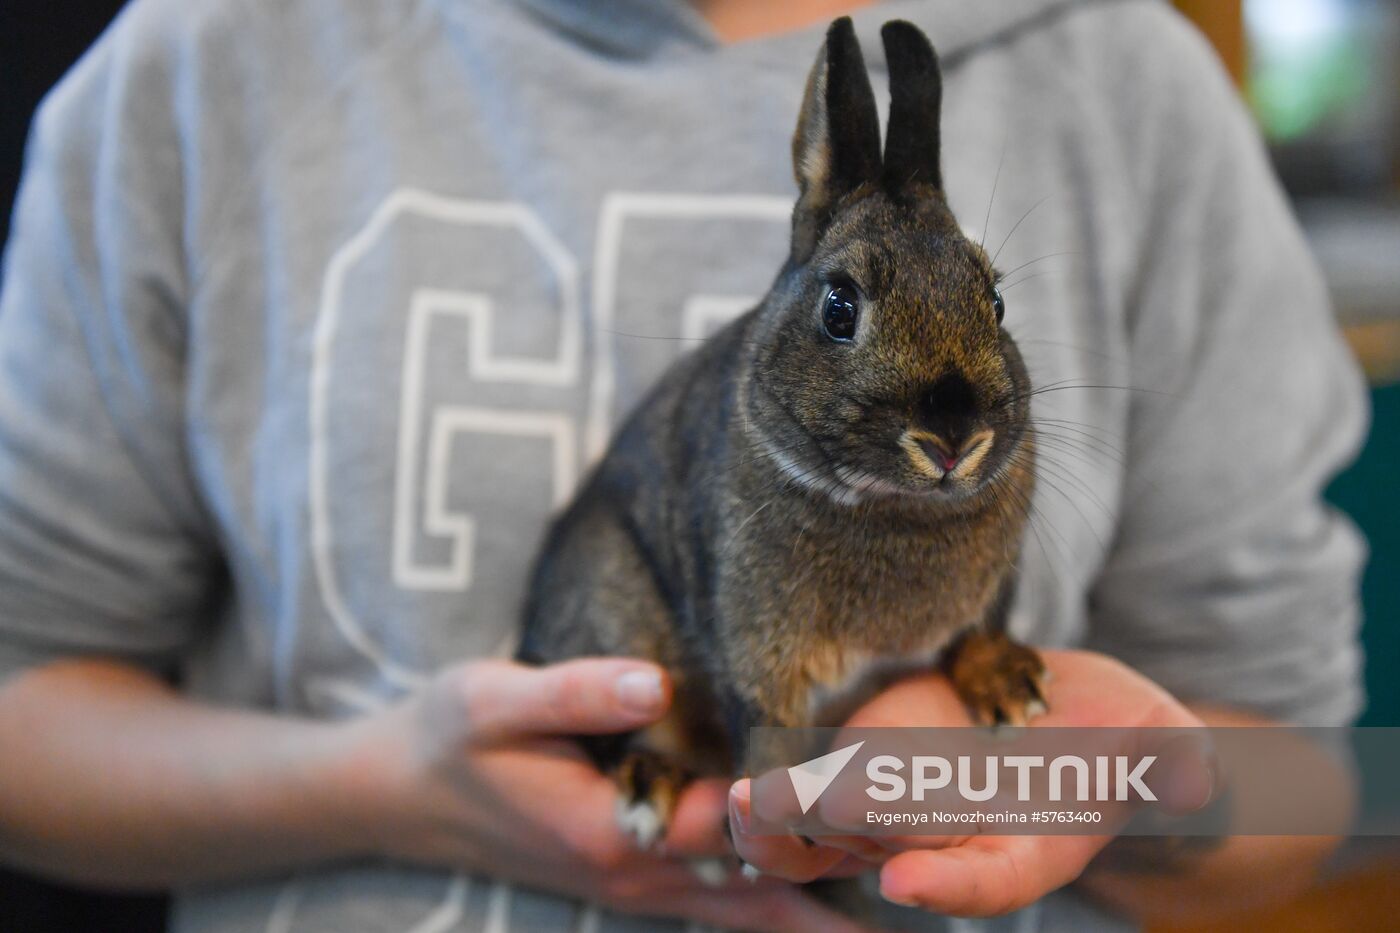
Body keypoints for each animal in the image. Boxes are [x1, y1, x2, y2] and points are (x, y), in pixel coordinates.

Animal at [520, 18, 1047, 851]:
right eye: (839, 308)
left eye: (995, 301)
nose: (954, 438)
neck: (889, 505)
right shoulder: (759, 653)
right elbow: (767, 726)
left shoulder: (993, 589)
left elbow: (978, 633)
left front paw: (1009, 686)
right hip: (609, 617)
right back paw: (648, 786)